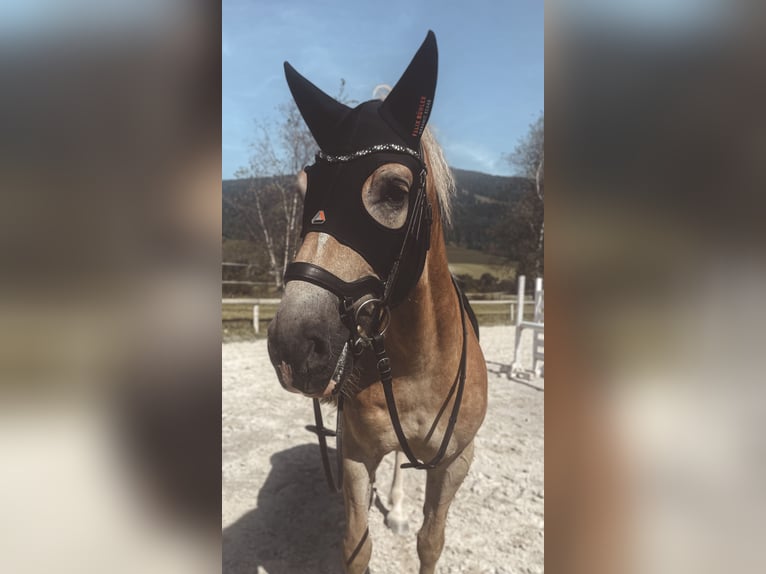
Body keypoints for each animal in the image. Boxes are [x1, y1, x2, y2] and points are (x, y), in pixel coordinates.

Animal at [268, 32, 488, 574]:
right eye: (306, 190)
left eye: (395, 191)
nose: (294, 347)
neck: (415, 362)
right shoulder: (354, 455)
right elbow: (356, 544)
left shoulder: (455, 462)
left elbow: (431, 541)